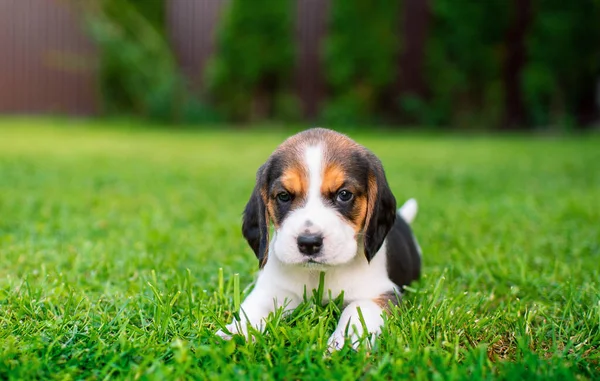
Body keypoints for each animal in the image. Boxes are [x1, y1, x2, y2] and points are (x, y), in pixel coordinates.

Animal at [217, 127, 422, 350]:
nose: (309, 243)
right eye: (284, 196)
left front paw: (344, 344)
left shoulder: (380, 293)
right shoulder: (272, 288)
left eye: (344, 194)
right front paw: (236, 332)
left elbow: (357, 311)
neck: (319, 273)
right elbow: (253, 309)